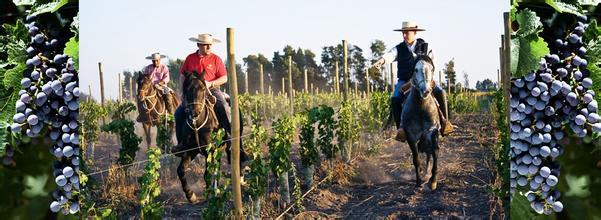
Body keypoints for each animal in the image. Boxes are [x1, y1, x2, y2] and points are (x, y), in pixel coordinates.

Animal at [404, 54, 440, 190]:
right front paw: (418, 181)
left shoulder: (432, 130)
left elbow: (435, 152)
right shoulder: (411, 135)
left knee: (429, 153)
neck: (420, 107)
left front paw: (433, 180)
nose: (425, 91)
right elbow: (416, 158)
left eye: (432, 69)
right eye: (416, 69)